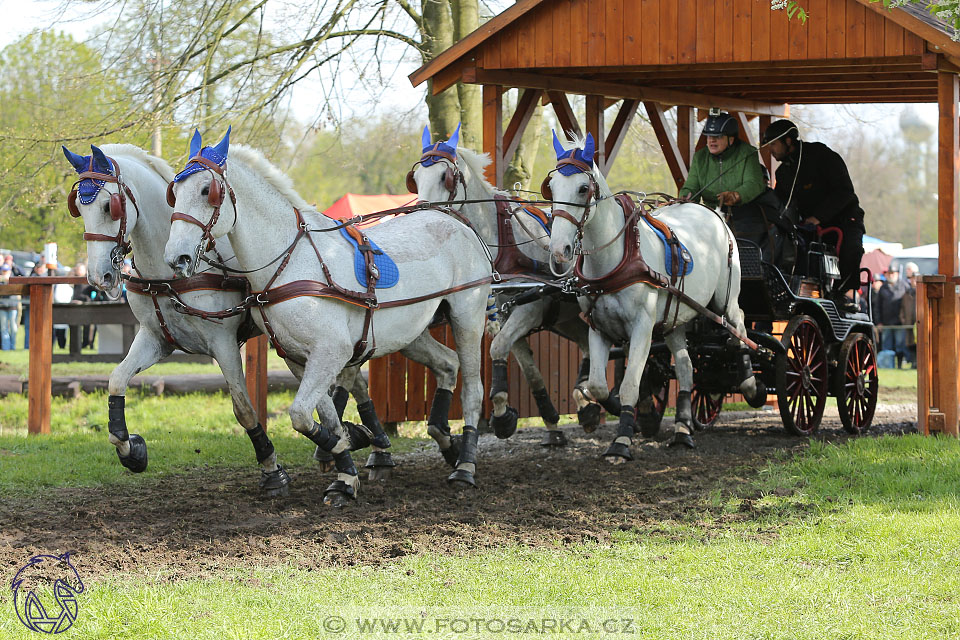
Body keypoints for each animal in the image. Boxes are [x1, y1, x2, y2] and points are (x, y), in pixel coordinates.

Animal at [164, 130, 492, 504]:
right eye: (175, 192)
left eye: (208, 190)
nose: (176, 257)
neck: (291, 262)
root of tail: (456, 220)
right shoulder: (299, 357)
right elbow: (321, 418)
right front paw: (345, 473)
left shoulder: (331, 351)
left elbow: (300, 415)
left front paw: (353, 442)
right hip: (412, 332)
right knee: (448, 364)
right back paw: (447, 442)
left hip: (468, 316)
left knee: (473, 389)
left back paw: (465, 465)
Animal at [548, 132, 764, 458]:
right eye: (550, 187)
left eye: (583, 188)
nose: (559, 250)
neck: (618, 256)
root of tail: (714, 212)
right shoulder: (599, 328)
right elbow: (598, 384)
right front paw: (601, 413)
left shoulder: (642, 328)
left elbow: (630, 385)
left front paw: (621, 442)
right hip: (676, 317)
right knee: (686, 367)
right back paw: (683, 429)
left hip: (725, 297)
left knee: (737, 325)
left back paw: (750, 383)